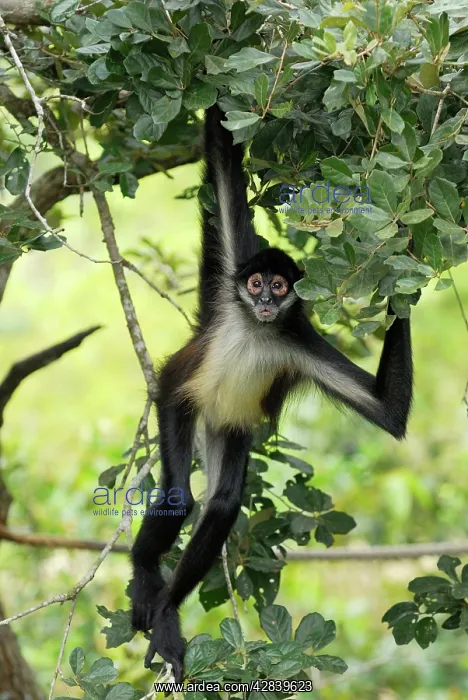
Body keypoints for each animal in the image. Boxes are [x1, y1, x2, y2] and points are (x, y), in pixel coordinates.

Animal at [129, 105, 413, 681]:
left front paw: (405, 267)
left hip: (227, 423)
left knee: (220, 503)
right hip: (180, 399)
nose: (263, 300)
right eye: (257, 283)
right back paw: (149, 577)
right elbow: (222, 157)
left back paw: (168, 607)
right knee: (180, 494)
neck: (257, 327)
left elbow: (389, 411)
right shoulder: (232, 287)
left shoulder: (294, 339)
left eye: (280, 288)